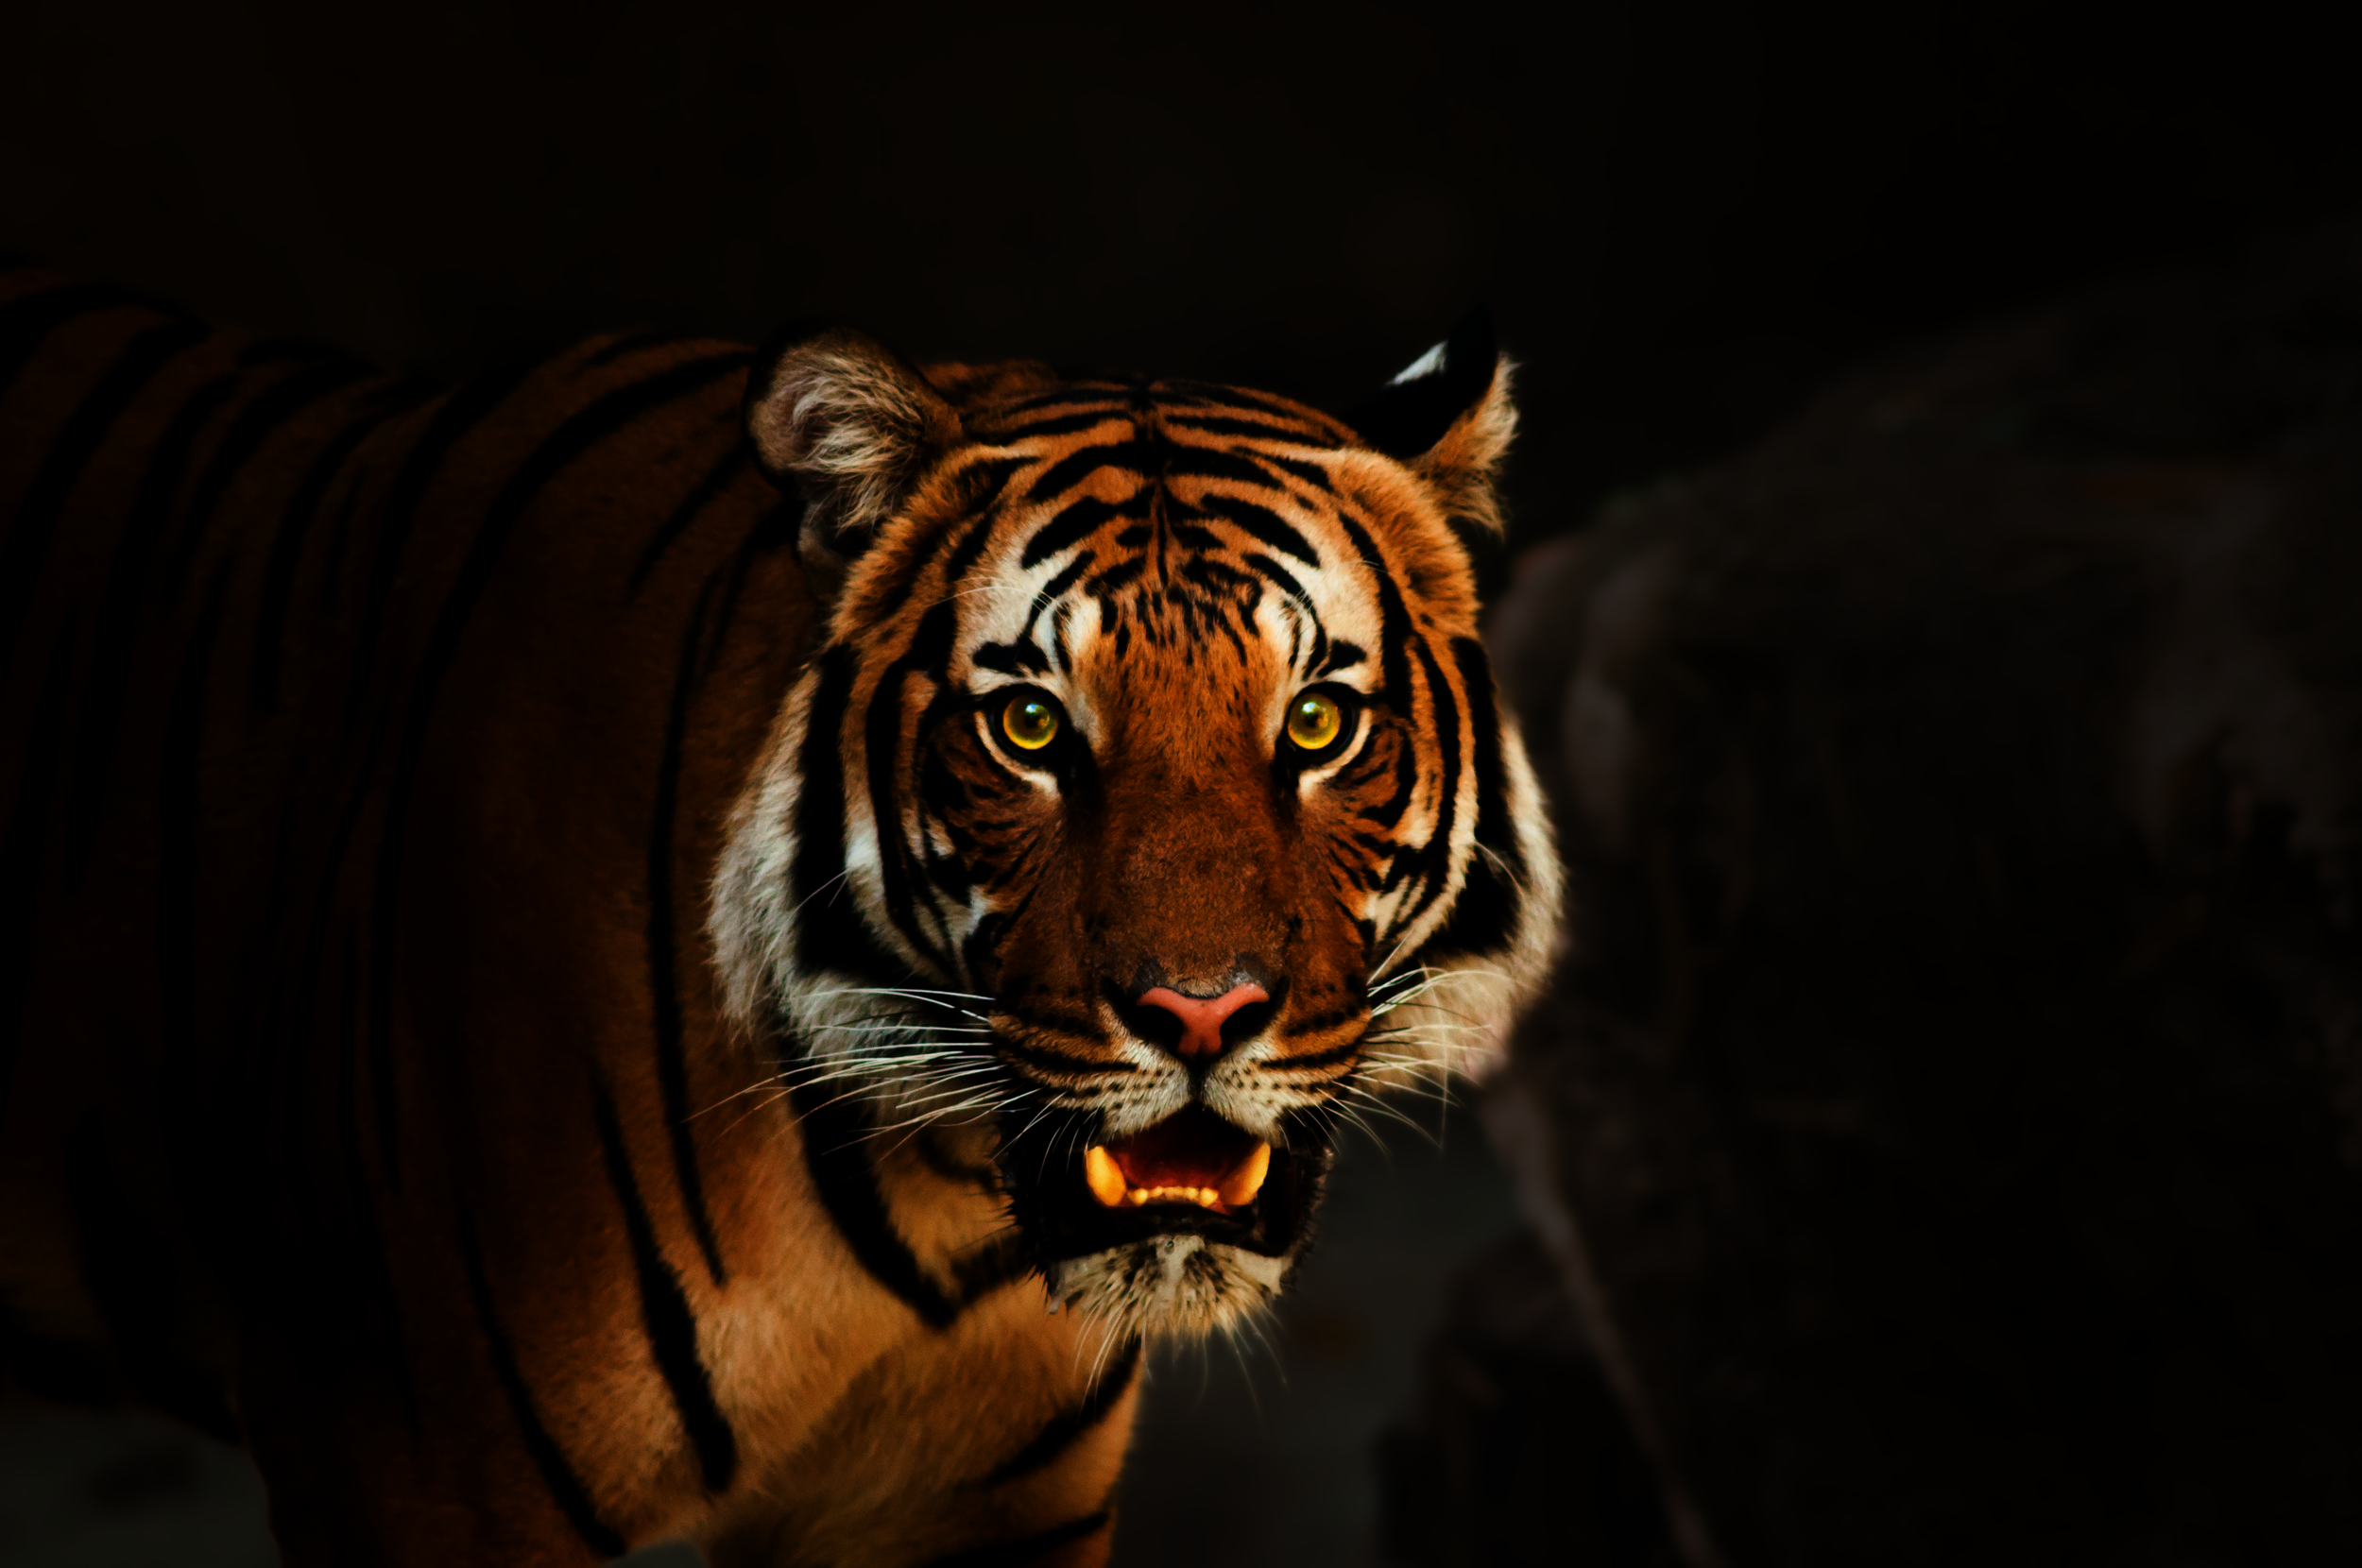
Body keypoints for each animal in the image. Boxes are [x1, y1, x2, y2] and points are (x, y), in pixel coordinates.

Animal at [0, 260, 1561, 1566]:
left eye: (1315, 723)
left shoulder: (980, 1509)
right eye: (1032, 727)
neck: (933, 1213)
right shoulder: (418, 1470)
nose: (1201, 1013)